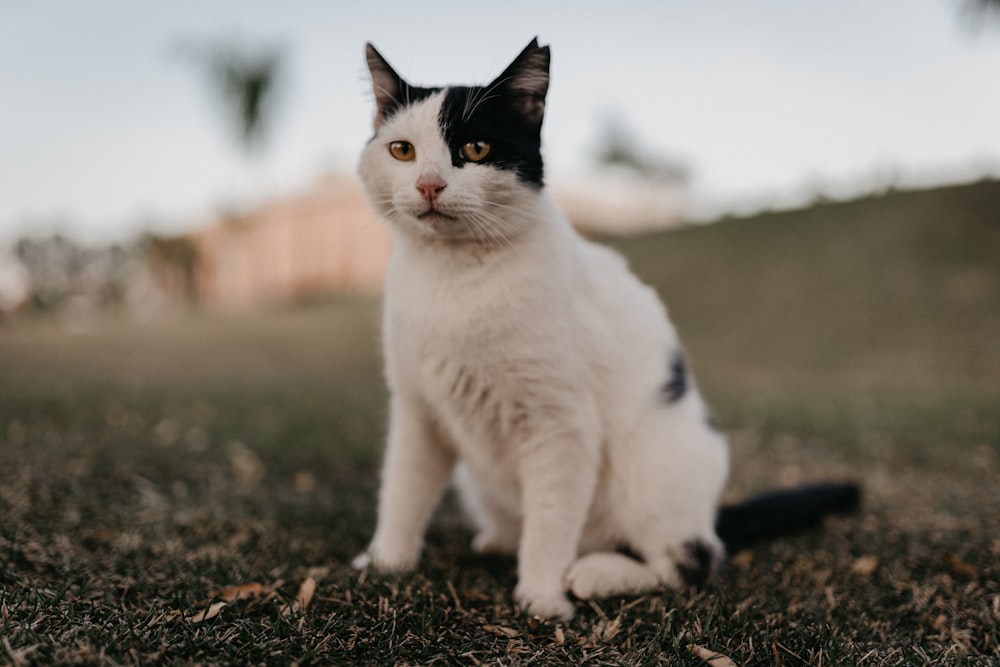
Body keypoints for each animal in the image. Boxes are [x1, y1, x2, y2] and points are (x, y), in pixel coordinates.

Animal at [354, 36, 860, 620]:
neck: (454, 279)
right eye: (402, 151)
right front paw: (387, 562)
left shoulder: (561, 425)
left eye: (476, 149)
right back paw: (500, 540)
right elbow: (403, 490)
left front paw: (542, 597)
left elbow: (552, 523)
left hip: (657, 468)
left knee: (689, 562)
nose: (429, 184)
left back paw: (595, 573)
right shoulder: (418, 411)